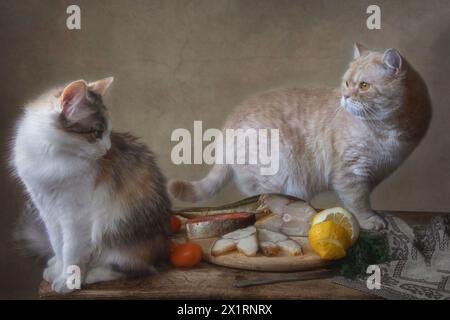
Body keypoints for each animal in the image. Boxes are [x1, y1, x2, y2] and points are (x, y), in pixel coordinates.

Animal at [169, 43, 432, 231]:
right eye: (347, 83)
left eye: (364, 86)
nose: (345, 96)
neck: (387, 130)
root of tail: (230, 122)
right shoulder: (351, 172)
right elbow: (358, 201)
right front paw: (369, 220)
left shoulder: (375, 172)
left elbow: (364, 198)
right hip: (276, 171)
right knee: (260, 198)